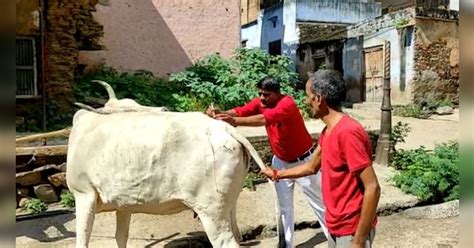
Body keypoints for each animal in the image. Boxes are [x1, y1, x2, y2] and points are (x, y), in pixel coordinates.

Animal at [66, 82, 274, 247]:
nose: (163, 109)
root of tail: (224, 128)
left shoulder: (84, 194)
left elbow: (82, 241)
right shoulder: (123, 206)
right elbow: (120, 238)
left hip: (211, 211)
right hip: (229, 205)